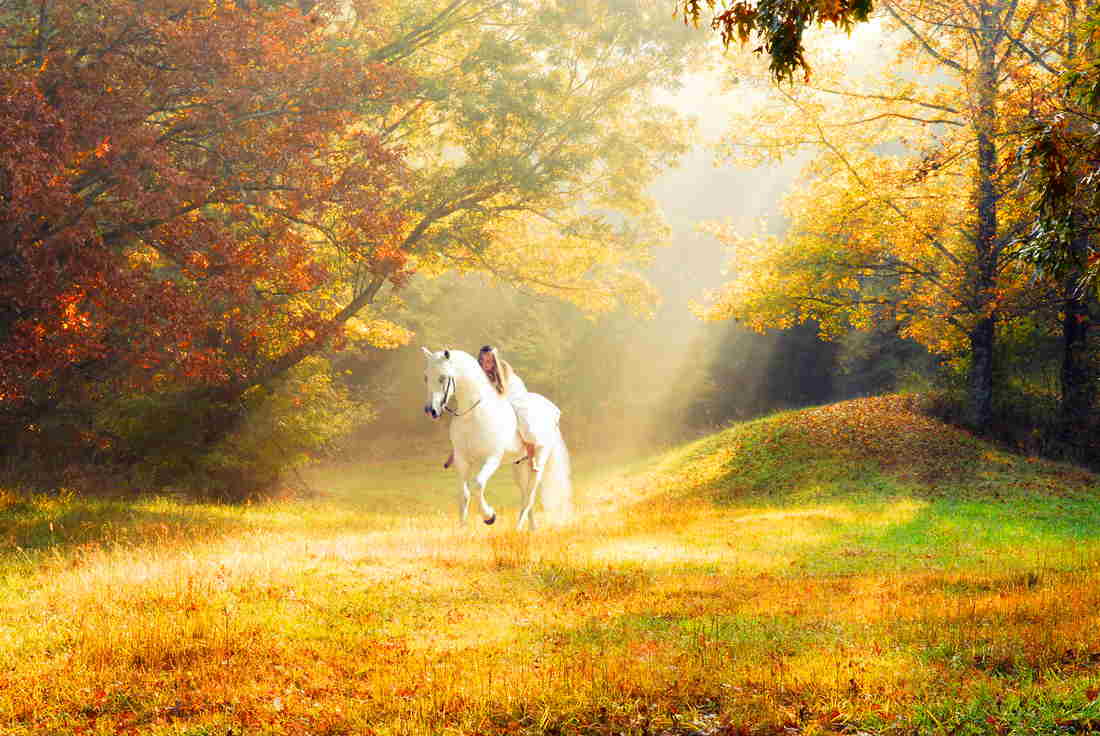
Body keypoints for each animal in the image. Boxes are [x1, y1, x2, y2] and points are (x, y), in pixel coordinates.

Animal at [421, 347, 573, 530]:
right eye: (426, 377)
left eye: (442, 377)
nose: (431, 410)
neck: (473, 414)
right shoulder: (462, 460)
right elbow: (464, 494)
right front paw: (462, 528)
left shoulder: (492, 458)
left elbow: (478, 484)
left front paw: (489, 516)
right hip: (520, 466)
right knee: (525, 496)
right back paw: (531, 529)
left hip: (539, 462)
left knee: (529, 497)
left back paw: (518, 529)